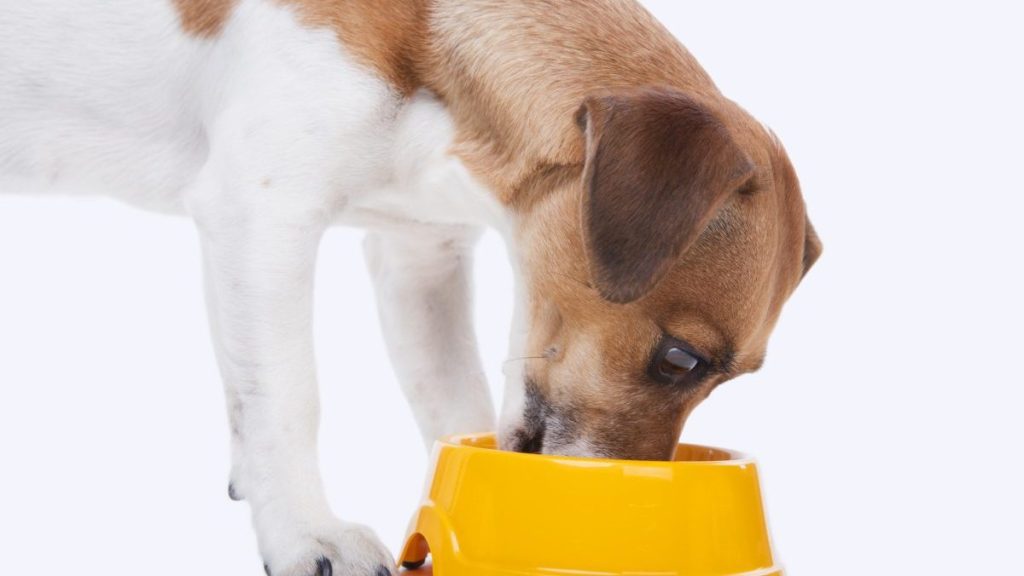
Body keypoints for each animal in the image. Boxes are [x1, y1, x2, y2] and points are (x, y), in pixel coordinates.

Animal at [0, 1, 815, 573]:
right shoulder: (262, 216)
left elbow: (450, 404)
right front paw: (305, 533)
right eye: (682, 360)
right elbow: (288, 398)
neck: (425, 41)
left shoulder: (420, 258)